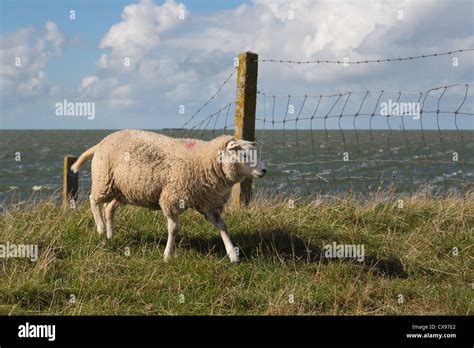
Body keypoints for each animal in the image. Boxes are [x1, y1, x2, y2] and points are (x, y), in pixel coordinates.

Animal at [70, 129, 266, 262]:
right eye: (245, 155)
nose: (264, 170)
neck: (204, 161)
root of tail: (102, 142)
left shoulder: (208, 203)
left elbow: (223, 227)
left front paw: (233, 255)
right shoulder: (172, 199)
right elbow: (173, 229)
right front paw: (168, 255)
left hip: (122, 190)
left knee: (109, 208)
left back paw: (110, 235)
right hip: (103, 180)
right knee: (93, 200)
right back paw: (101, 228)